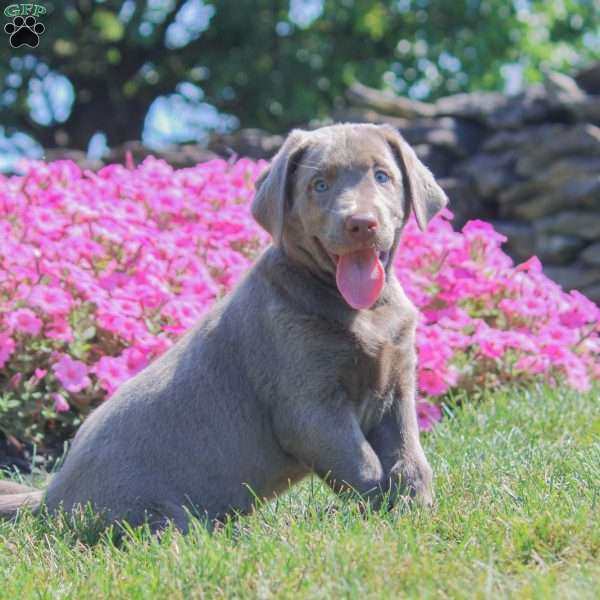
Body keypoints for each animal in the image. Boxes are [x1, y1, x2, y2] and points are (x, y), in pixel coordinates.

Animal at [0, 124, 448, 532]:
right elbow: (363, 463)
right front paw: (379, 515)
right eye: (319, 185)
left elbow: (409, 454)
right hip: (149, 510)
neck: (361, 309)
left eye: (382, 176)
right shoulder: (310, 408)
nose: (361, 223)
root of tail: (51, 496)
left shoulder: (397, 384)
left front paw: (416, 508)